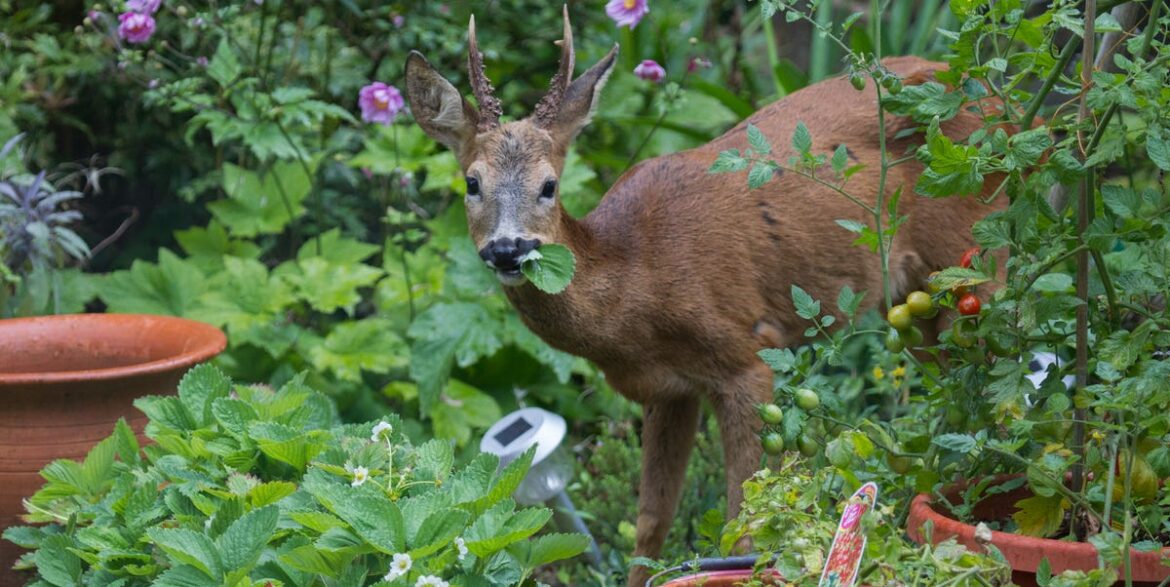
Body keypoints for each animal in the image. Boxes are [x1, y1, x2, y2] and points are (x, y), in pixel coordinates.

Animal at [405, 8, 1008, 586]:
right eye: (472, 183)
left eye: (549, 185)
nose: (508, 249)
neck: (637, 283)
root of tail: (1000, 96)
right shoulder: (666, 390)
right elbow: (651, 521)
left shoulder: (746, 357)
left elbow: (745, 519)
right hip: (912, 299)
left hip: (978, 252)